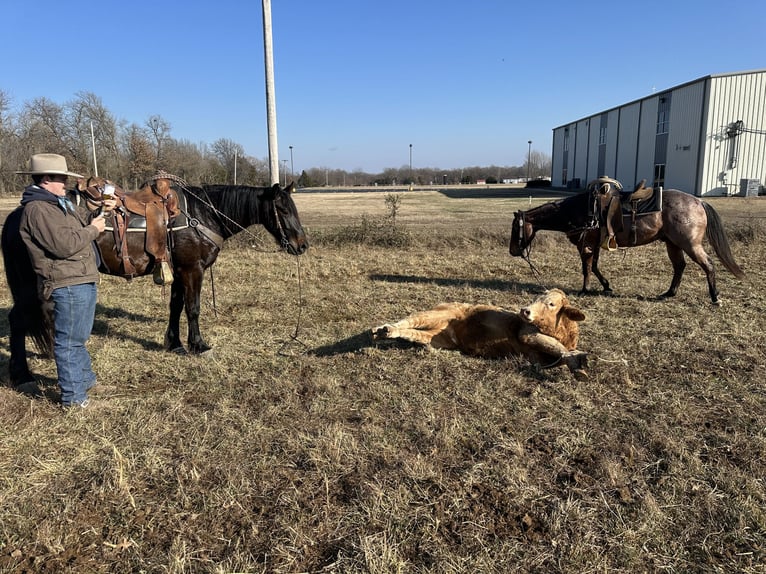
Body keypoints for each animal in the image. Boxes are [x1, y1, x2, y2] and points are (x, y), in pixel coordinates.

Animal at [2, 179, 309, 385]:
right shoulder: (192, 270)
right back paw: (22, 375)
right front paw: (198, 345)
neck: (202, 214)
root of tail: (17, 216)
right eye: (282, 209)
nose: (302, 245)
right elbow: (193, 308)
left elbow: (176, 307)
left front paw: (175, 344)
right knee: (17, 321)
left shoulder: (178, 272)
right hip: (31, 286)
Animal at [509, 188, 744, 305]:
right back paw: (669, 293)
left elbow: (586, 268)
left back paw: (715, 297)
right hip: (673, 244)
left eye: (515, 228)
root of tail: (698, 202)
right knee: (679, 267)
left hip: (690, 244)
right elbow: (595, 267)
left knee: (708, 265)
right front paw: (605, 285)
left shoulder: (585, 244)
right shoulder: (595, 245)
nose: (513, 251)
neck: (576, 210)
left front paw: (585, 289)